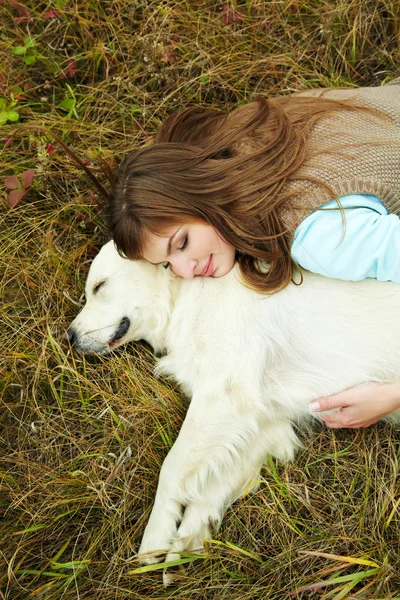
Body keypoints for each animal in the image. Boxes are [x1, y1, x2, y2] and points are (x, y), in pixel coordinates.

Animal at [67, 240, 400, 572]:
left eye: (99, 286)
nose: (69, 337)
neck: (186, 295)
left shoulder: (222, 395)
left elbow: (171, 470)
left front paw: (156, 538)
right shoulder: (262, 422)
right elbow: (216, 483)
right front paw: (188, 539)